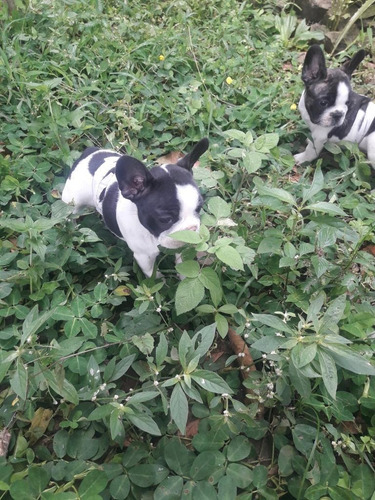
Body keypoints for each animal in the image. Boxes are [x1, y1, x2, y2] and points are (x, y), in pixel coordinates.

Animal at [61, 138, 209, 278]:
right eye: (165, 219)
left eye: (199, 209)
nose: (192, 228)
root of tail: (89, 153)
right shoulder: (144, 257)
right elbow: (154, 275)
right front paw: (160, 282)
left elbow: (184, 262)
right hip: (72, 202)